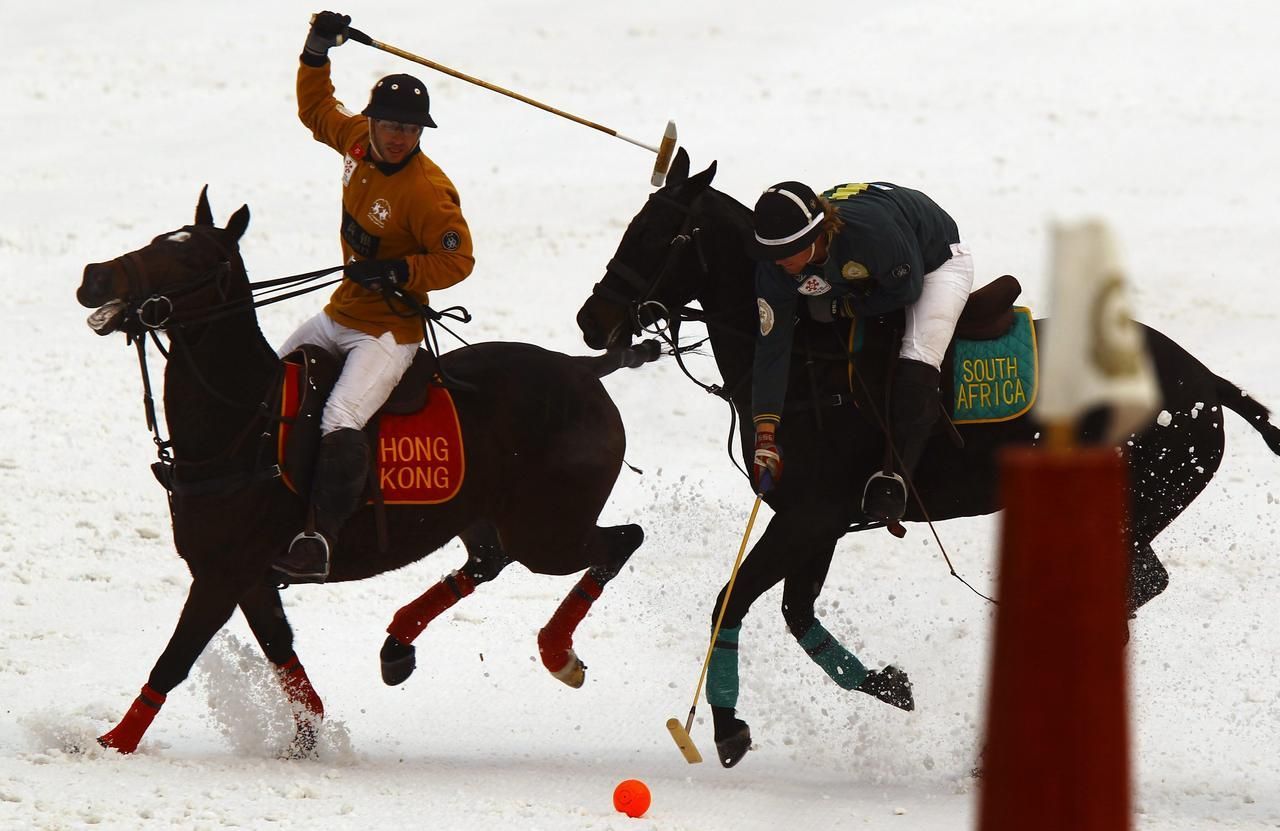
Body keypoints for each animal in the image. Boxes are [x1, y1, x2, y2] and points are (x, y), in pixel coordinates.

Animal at [77, 189, 660, 758]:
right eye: (158, 239)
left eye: (192, 259)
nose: (94, 276)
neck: (246, 421)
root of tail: (583, 368)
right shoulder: (248, 577)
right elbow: (281, 651)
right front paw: (307, 741)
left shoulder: (223, 573)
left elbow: (174, 661)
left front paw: (108, 745)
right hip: (489, 518)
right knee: (489, 560)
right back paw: (398, 646)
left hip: (549, 532)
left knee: (621, 541)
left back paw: (557, 653)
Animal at [578, 147, 1280, 763]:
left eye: (658, 233)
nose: (592, 321)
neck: (807, 356)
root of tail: (1206, 382)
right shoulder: (819, 522)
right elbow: (795, 610)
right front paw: (890, 685)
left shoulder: (811, 514)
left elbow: (733, 597)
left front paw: (726, 729)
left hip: (1130, 501)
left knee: (1131, 587)